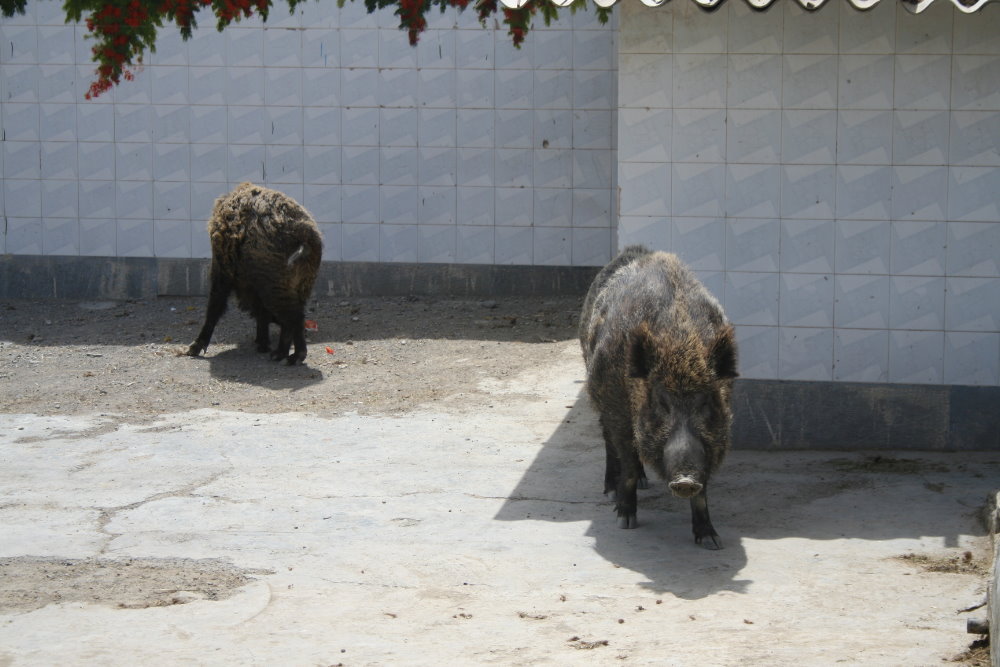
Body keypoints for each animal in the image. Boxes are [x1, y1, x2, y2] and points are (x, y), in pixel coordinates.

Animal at [579, 245, 738, 549]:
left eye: (706, 402)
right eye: (661, 403)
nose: (685, 480)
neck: (678, 340)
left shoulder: (712, 440)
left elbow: (704, 488)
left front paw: (711, 541)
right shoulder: (618, 409)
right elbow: (628, 461)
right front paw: (625, 521)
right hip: (599, 394)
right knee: (609, 442)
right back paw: (611, 491)